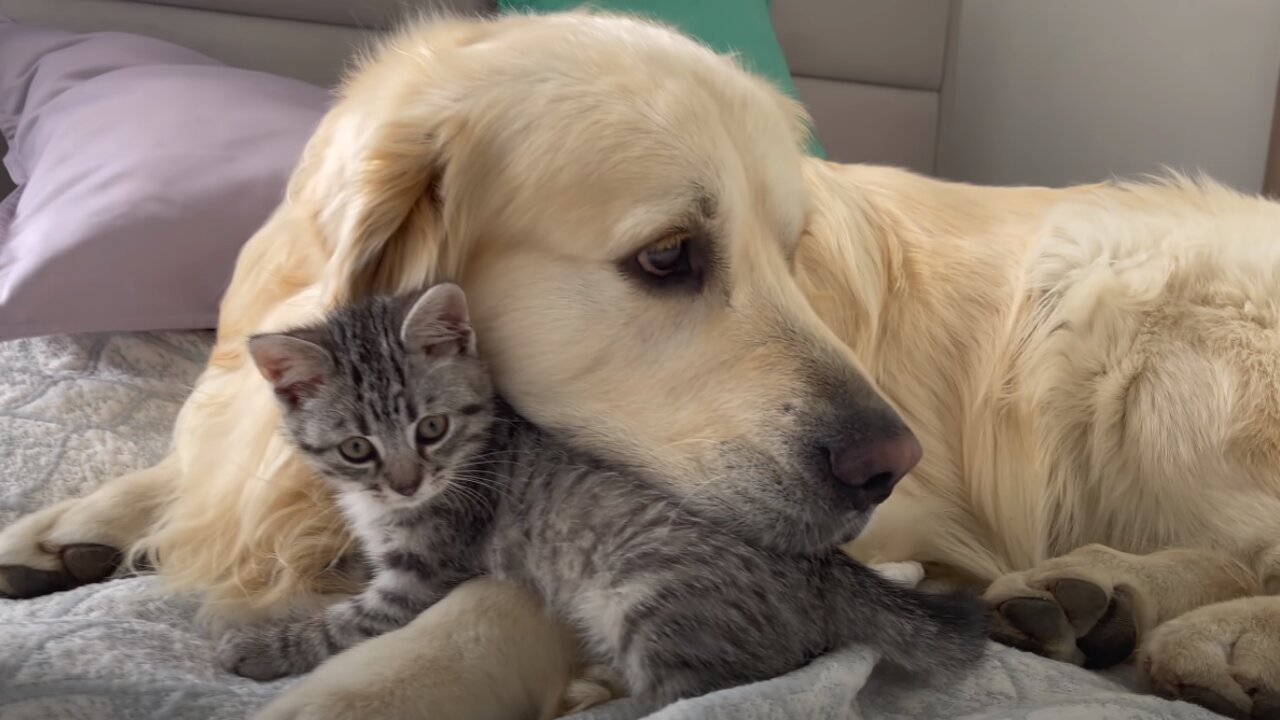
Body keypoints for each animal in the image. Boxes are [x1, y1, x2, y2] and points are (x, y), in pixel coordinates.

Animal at [217, 281, 988, 707]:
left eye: (430, 428)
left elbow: (344, 624)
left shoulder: (424, 578)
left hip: (653, 598)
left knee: (699, 697)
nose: (407, 481)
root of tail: (822, 568)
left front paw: (256, 648)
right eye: (357, 447)